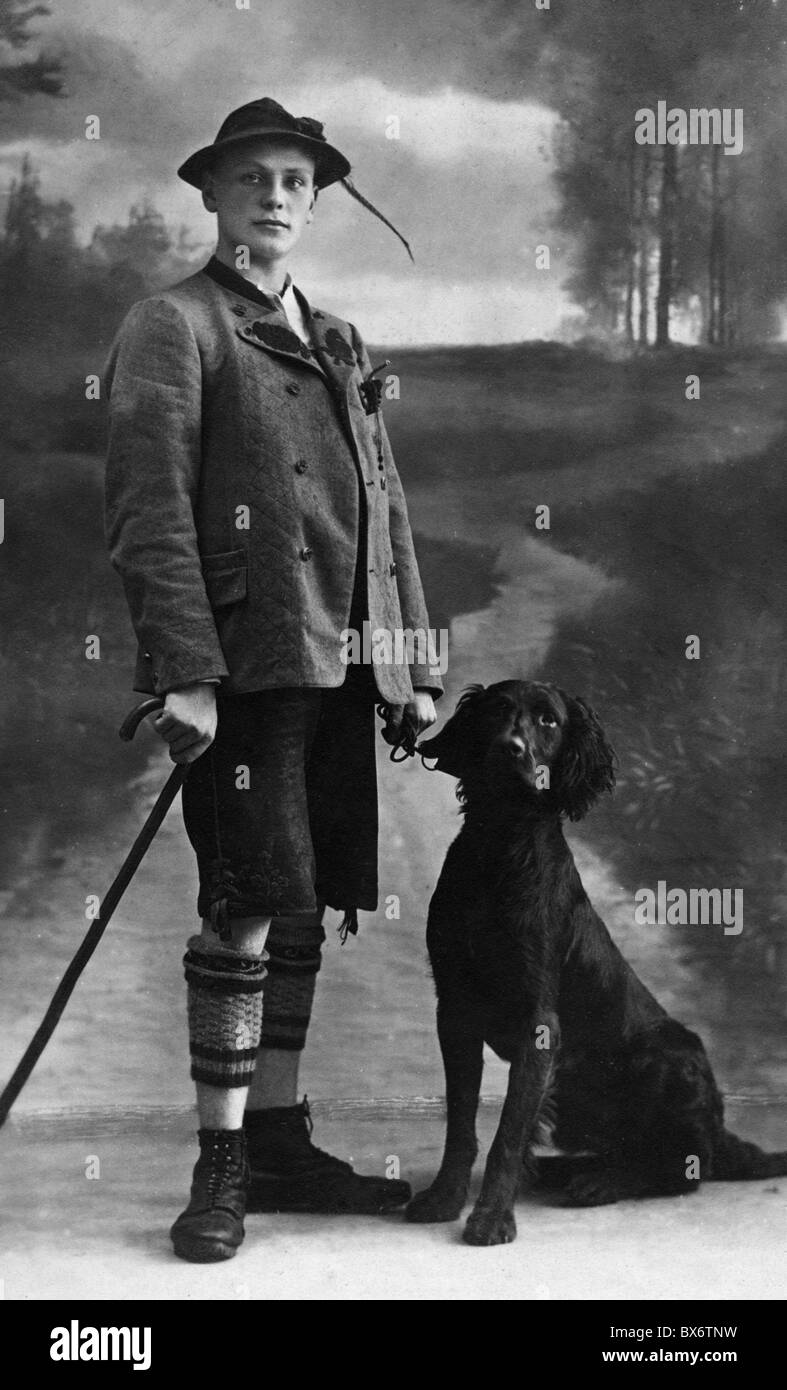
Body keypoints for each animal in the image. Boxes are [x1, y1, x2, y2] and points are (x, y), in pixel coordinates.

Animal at [411, 683, 784, 1251]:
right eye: (497, 710)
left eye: (549, 720)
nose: (509, 748)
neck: (500, 846)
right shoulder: (455, 1009)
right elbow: (462, 1123)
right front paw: (444, 1198)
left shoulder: (539, 1023)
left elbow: (507, 1133)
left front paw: (492, 1217)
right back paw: (567, 1170)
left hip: (670, 1056)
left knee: (682, 1169)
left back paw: (600, 1182)